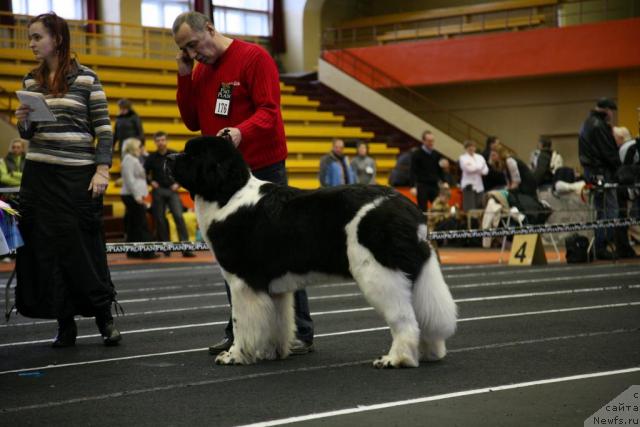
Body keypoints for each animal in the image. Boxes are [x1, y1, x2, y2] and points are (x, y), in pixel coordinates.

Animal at [165, 136, 456, 368]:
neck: (228, 194)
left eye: (193, 154)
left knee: (404, 318)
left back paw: (396, 359)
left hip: (380, 273)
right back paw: (430, 352)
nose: (167, 157)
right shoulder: (274, 288)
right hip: (411, 272)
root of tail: (410, 210)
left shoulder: (243, 283)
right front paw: (272, 352)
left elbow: (241, 322)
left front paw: (235, 355)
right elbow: (277, 320)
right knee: (424, 314)